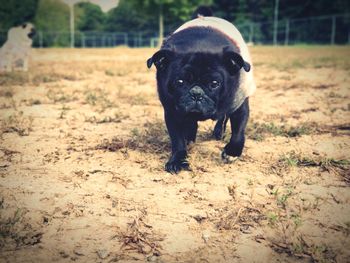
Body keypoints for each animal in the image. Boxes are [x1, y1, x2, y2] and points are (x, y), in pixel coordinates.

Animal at [146, 12, 256, 174]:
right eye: (180, 82)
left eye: (214, 84)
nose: (196, 93)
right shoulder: (172, 111)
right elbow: (177, 140)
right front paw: (177, 160)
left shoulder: (239, 103)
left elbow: (238, 131)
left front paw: (232, 152)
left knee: (223, 117)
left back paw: (218, 132)